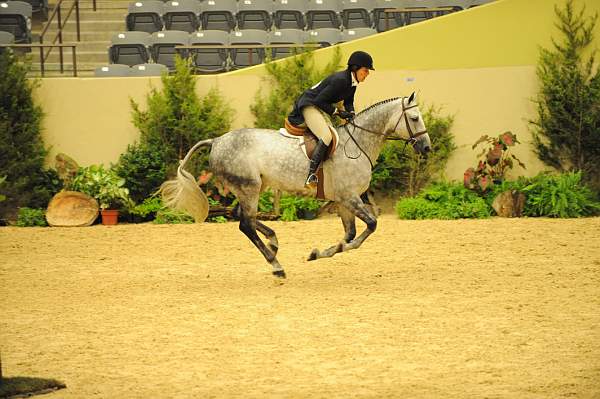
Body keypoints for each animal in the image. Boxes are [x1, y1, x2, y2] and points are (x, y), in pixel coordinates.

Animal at [159, 92, 432, 280]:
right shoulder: (349, 197)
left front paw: (320, 253)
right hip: (249, 187)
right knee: (245, 224)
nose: (427, 147)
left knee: (241, 216)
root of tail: (216, 141)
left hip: (253, 187)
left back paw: (273, 242)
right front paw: (341, 248)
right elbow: (369, 227)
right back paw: (276, 265)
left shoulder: (344, 200)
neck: (358, 143)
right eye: (415, 118)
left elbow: (351, 232)